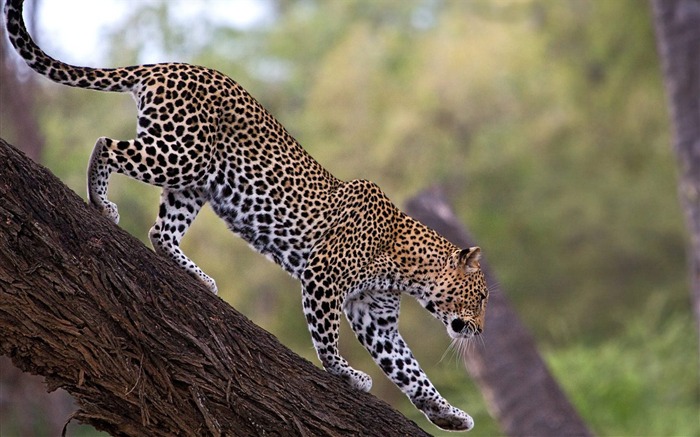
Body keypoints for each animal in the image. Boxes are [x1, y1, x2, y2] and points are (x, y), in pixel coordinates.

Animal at [5, 0, 490, 430]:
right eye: (483, 297)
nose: (481, 331)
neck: (407, 267)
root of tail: (168, 65)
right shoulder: (323, 276)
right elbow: (328, 338)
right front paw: (345, 373)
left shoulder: (376, 318)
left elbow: (410, 370)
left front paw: (447, 414)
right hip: (180, 155)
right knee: (106, 144)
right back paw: (100, 202)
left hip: (196, 182)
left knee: (161, 231)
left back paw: (197, 277)